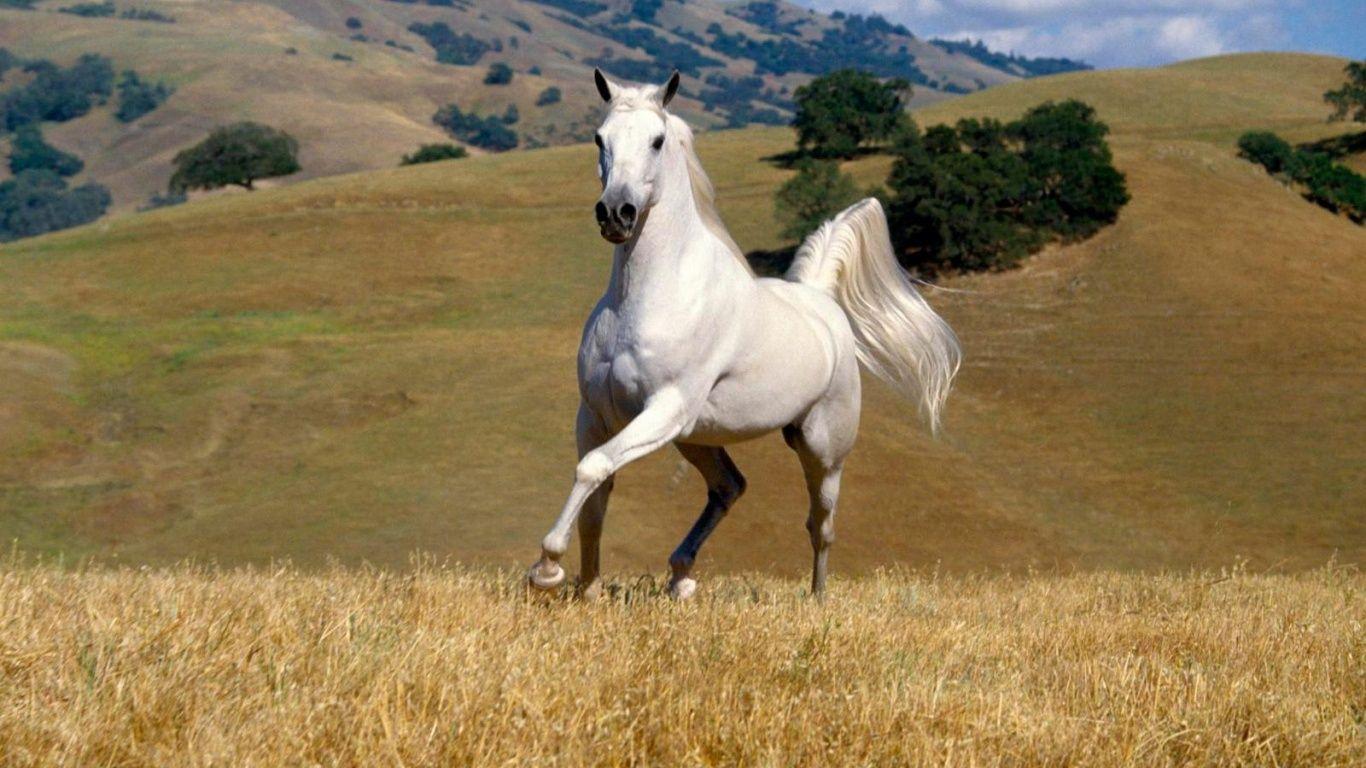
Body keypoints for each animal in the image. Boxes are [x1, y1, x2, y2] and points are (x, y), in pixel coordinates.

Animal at [527, 69, 961, 599]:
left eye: (657, 140)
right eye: (599, 138)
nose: (616, 213)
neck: (646, 297)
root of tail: (819, 300)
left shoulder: (664, 408)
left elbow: (592, 469)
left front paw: (547, 569)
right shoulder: (596, 414)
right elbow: (596, 493)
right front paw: (585, 590)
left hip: (821, 448)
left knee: (821, 525)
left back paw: (816, 599)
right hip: (695, 437)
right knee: (729, 486)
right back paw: (680, 576)